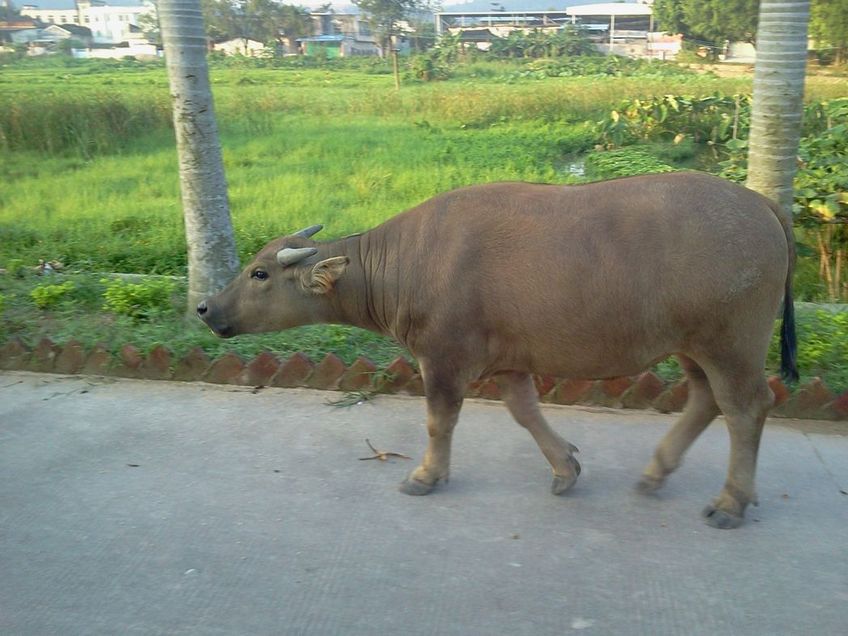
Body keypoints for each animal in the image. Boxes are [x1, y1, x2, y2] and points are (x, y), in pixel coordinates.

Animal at [197, 171, 796, 528]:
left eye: (259, 273)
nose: (205, 308)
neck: (405, 262)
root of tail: (759, 202)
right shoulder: (509, 361)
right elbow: (525, 412)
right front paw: (565, 467)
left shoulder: (442, 358)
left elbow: (440, 421)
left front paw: (425, 476)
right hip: (692, 345)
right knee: (705, 399)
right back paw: (656, 472)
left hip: (731, 342)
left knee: (746, 407)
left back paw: (731, 501)